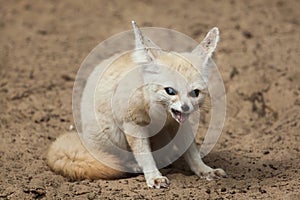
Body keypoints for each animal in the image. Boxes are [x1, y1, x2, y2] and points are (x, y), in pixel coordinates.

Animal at [47, 21, 226, 188]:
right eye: (170, 91)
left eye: (195, 92)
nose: (186, 108)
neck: (160, 114)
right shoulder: (133, 124)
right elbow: (144, 155)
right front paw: (154, 176)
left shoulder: (179, 124)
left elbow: (191, 151)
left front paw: (204, 170)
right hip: (112, 134)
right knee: (113, 159)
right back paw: (133, 166)